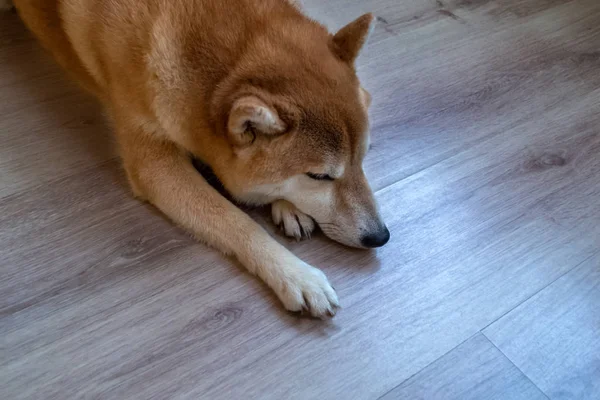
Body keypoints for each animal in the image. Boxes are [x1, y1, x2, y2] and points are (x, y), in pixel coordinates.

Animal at [7, 0, 392, 318]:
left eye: (363, 158)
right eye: (320, 177)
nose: (380, 237)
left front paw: (288, 206)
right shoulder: (154, 165)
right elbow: (237, 221)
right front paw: (294, 274)